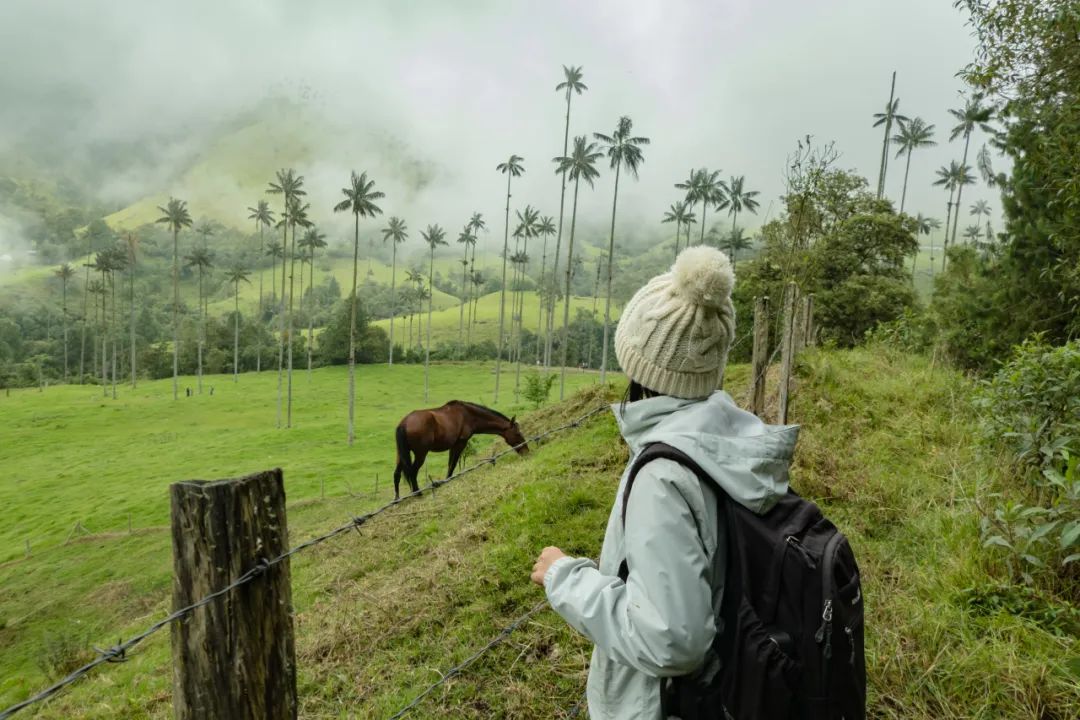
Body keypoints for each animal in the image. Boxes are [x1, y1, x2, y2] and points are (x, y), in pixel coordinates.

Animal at [397, 403, 531, 498]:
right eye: (518, 433)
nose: (526, 451)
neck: (469, 415)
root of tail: (404, 423)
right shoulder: (460, 443)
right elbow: (453, 464)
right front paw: (448, 481)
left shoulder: (454, 445)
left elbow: (450, 464)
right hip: (421, 454)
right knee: (412, 471)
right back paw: (417, 493)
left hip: (401, 455)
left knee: (397, 474)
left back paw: (397, 499)